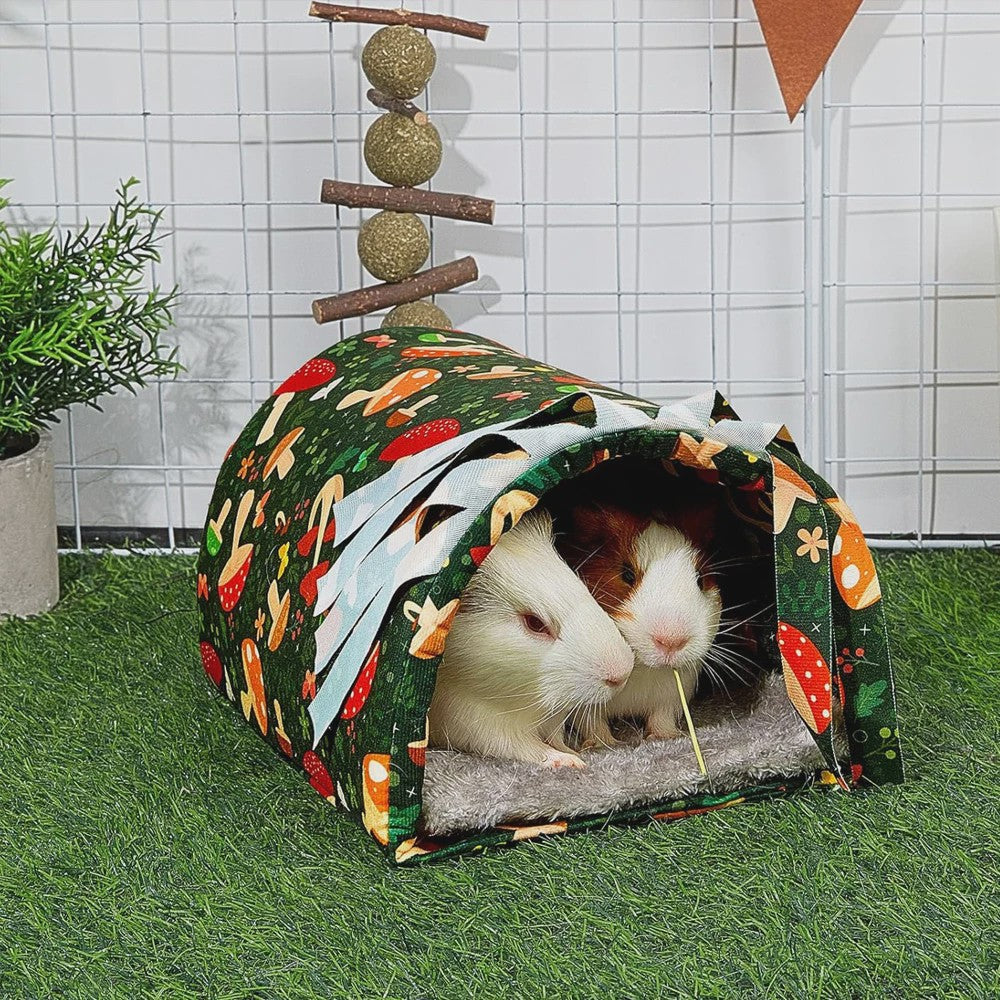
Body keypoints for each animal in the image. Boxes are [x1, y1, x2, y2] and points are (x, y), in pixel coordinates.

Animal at [427, 507, 635, 768]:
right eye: (535, 623)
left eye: (583, 589)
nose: (622, 675)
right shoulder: (475, 722)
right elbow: (527, 748)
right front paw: (572, 761)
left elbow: (555, 738)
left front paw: (574, 751)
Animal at [556, 500, 723, 746]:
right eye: (626, 574)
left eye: (700, 578)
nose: (671, 641)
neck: (641, 670)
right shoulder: (582, 705)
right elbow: (592, 723)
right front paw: (603, 745)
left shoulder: (672, 694)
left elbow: (662, 716)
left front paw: (665, 736)